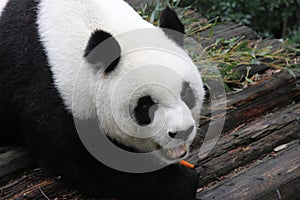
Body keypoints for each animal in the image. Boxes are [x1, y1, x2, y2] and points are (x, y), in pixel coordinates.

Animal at [0, 0, 204, 200]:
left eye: (186, 94)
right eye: (146, 105)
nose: (182, 132)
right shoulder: (47, 86)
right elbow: (83, 160)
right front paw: (182, 182)